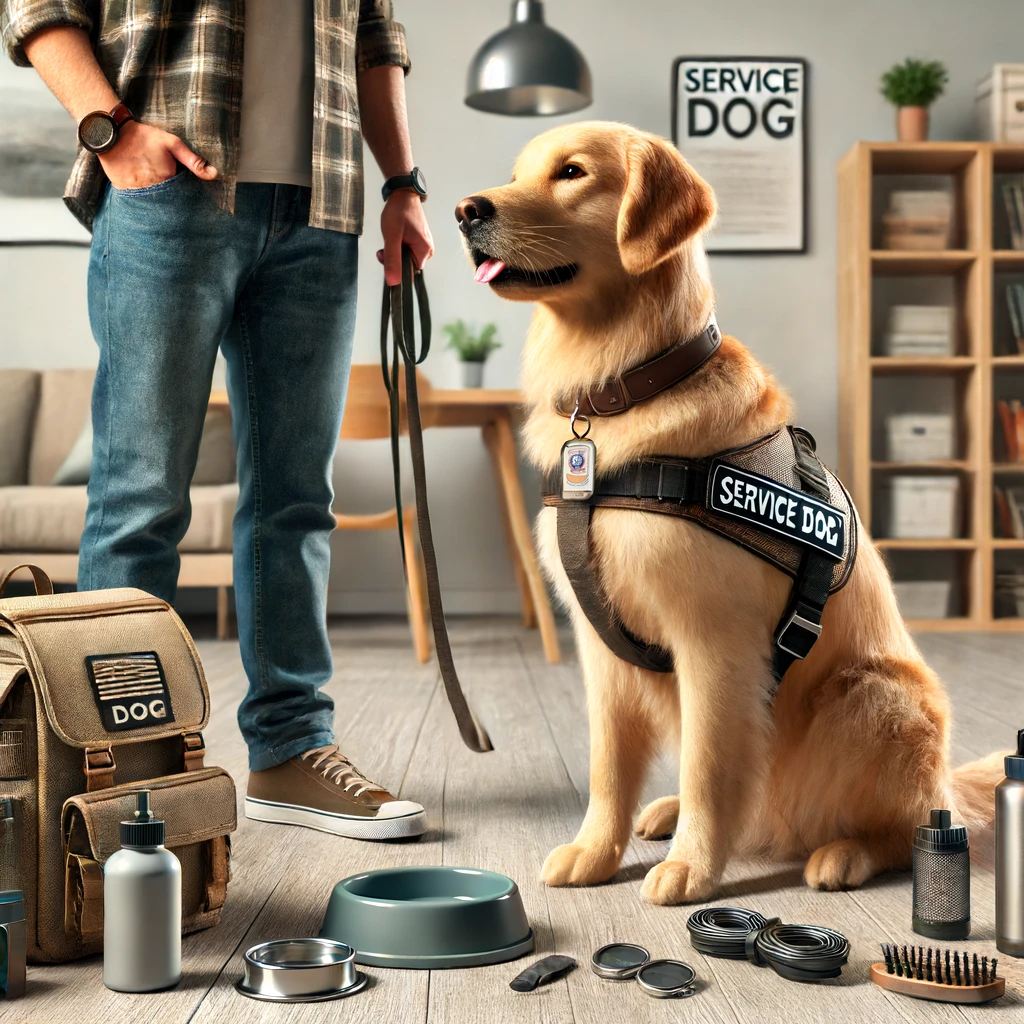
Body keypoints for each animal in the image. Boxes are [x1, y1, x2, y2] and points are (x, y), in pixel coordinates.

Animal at [456, 121, 999, 905]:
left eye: (572, 173)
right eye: (517, 172)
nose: (465, 211)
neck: (627, 388)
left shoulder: (715, 643)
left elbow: (711, 767)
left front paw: (692, 867)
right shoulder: (602, 651)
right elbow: (608, 766)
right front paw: (596, 851)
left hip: (869, 696)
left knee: (909, 824)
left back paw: (845, 853)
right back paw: (667, 811)